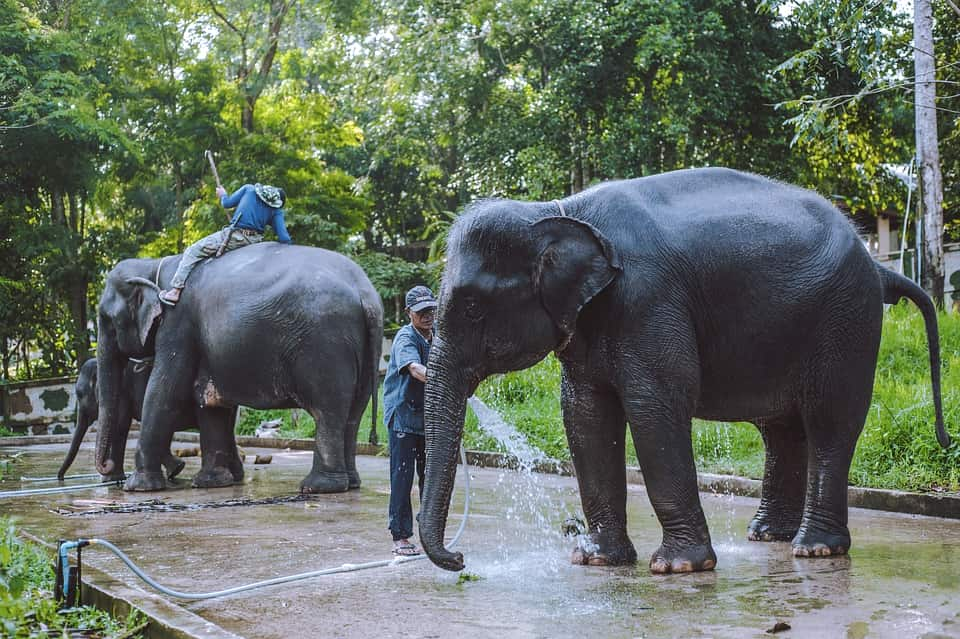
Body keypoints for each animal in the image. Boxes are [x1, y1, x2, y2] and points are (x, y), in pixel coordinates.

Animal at [60, 358, 189, 482]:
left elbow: (118, 425)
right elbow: (122, 426)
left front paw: (109, 479)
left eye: (80, 395)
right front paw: (115, 478)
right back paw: (176, 470)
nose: (60, 477)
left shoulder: (121, 391)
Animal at [418, 169, 944, 576]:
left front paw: (678, 567)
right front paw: (594, 560)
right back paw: (767, 536)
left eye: (471, 307)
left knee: (829, 421)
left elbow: (656, 407)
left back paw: (814, 549)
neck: (557, 210)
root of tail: (878, 267)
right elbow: (585, 415)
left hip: (845, 320)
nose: (460, 559)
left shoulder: (648, 300)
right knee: (782, 429)